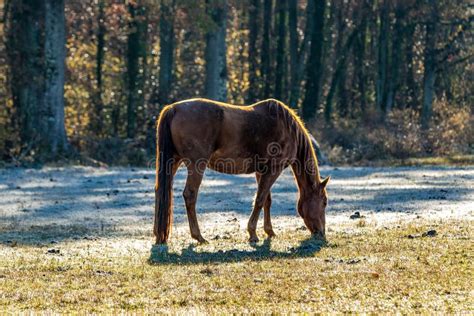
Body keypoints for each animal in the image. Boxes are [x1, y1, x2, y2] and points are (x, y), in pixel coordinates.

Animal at [155, 98, 330, 244]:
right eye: (324, 202)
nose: (321, 233)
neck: (287, 128)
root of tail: (174, 108)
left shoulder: (262, 171)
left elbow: (267, 200)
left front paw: (269, 231)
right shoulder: (274, 169)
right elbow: (259, 199)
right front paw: (253, 234)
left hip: (174, 162)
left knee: (161, 191)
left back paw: (159, 235)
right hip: (196, 165)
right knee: (190, 195)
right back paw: (198, 236)